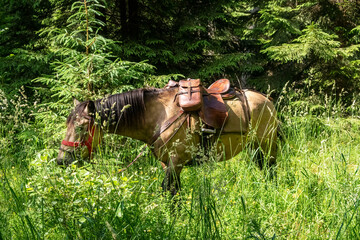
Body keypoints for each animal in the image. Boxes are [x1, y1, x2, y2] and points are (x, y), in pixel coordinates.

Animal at [57, 86, 280, 195]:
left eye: (80, 126)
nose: (61, 160)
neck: (158, 117)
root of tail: (267, 100)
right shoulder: (169, 164)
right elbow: (173, 192)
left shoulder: (176, 162)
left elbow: (170, 192)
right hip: (254, 148)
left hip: (267, 146)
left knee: (271, 171)